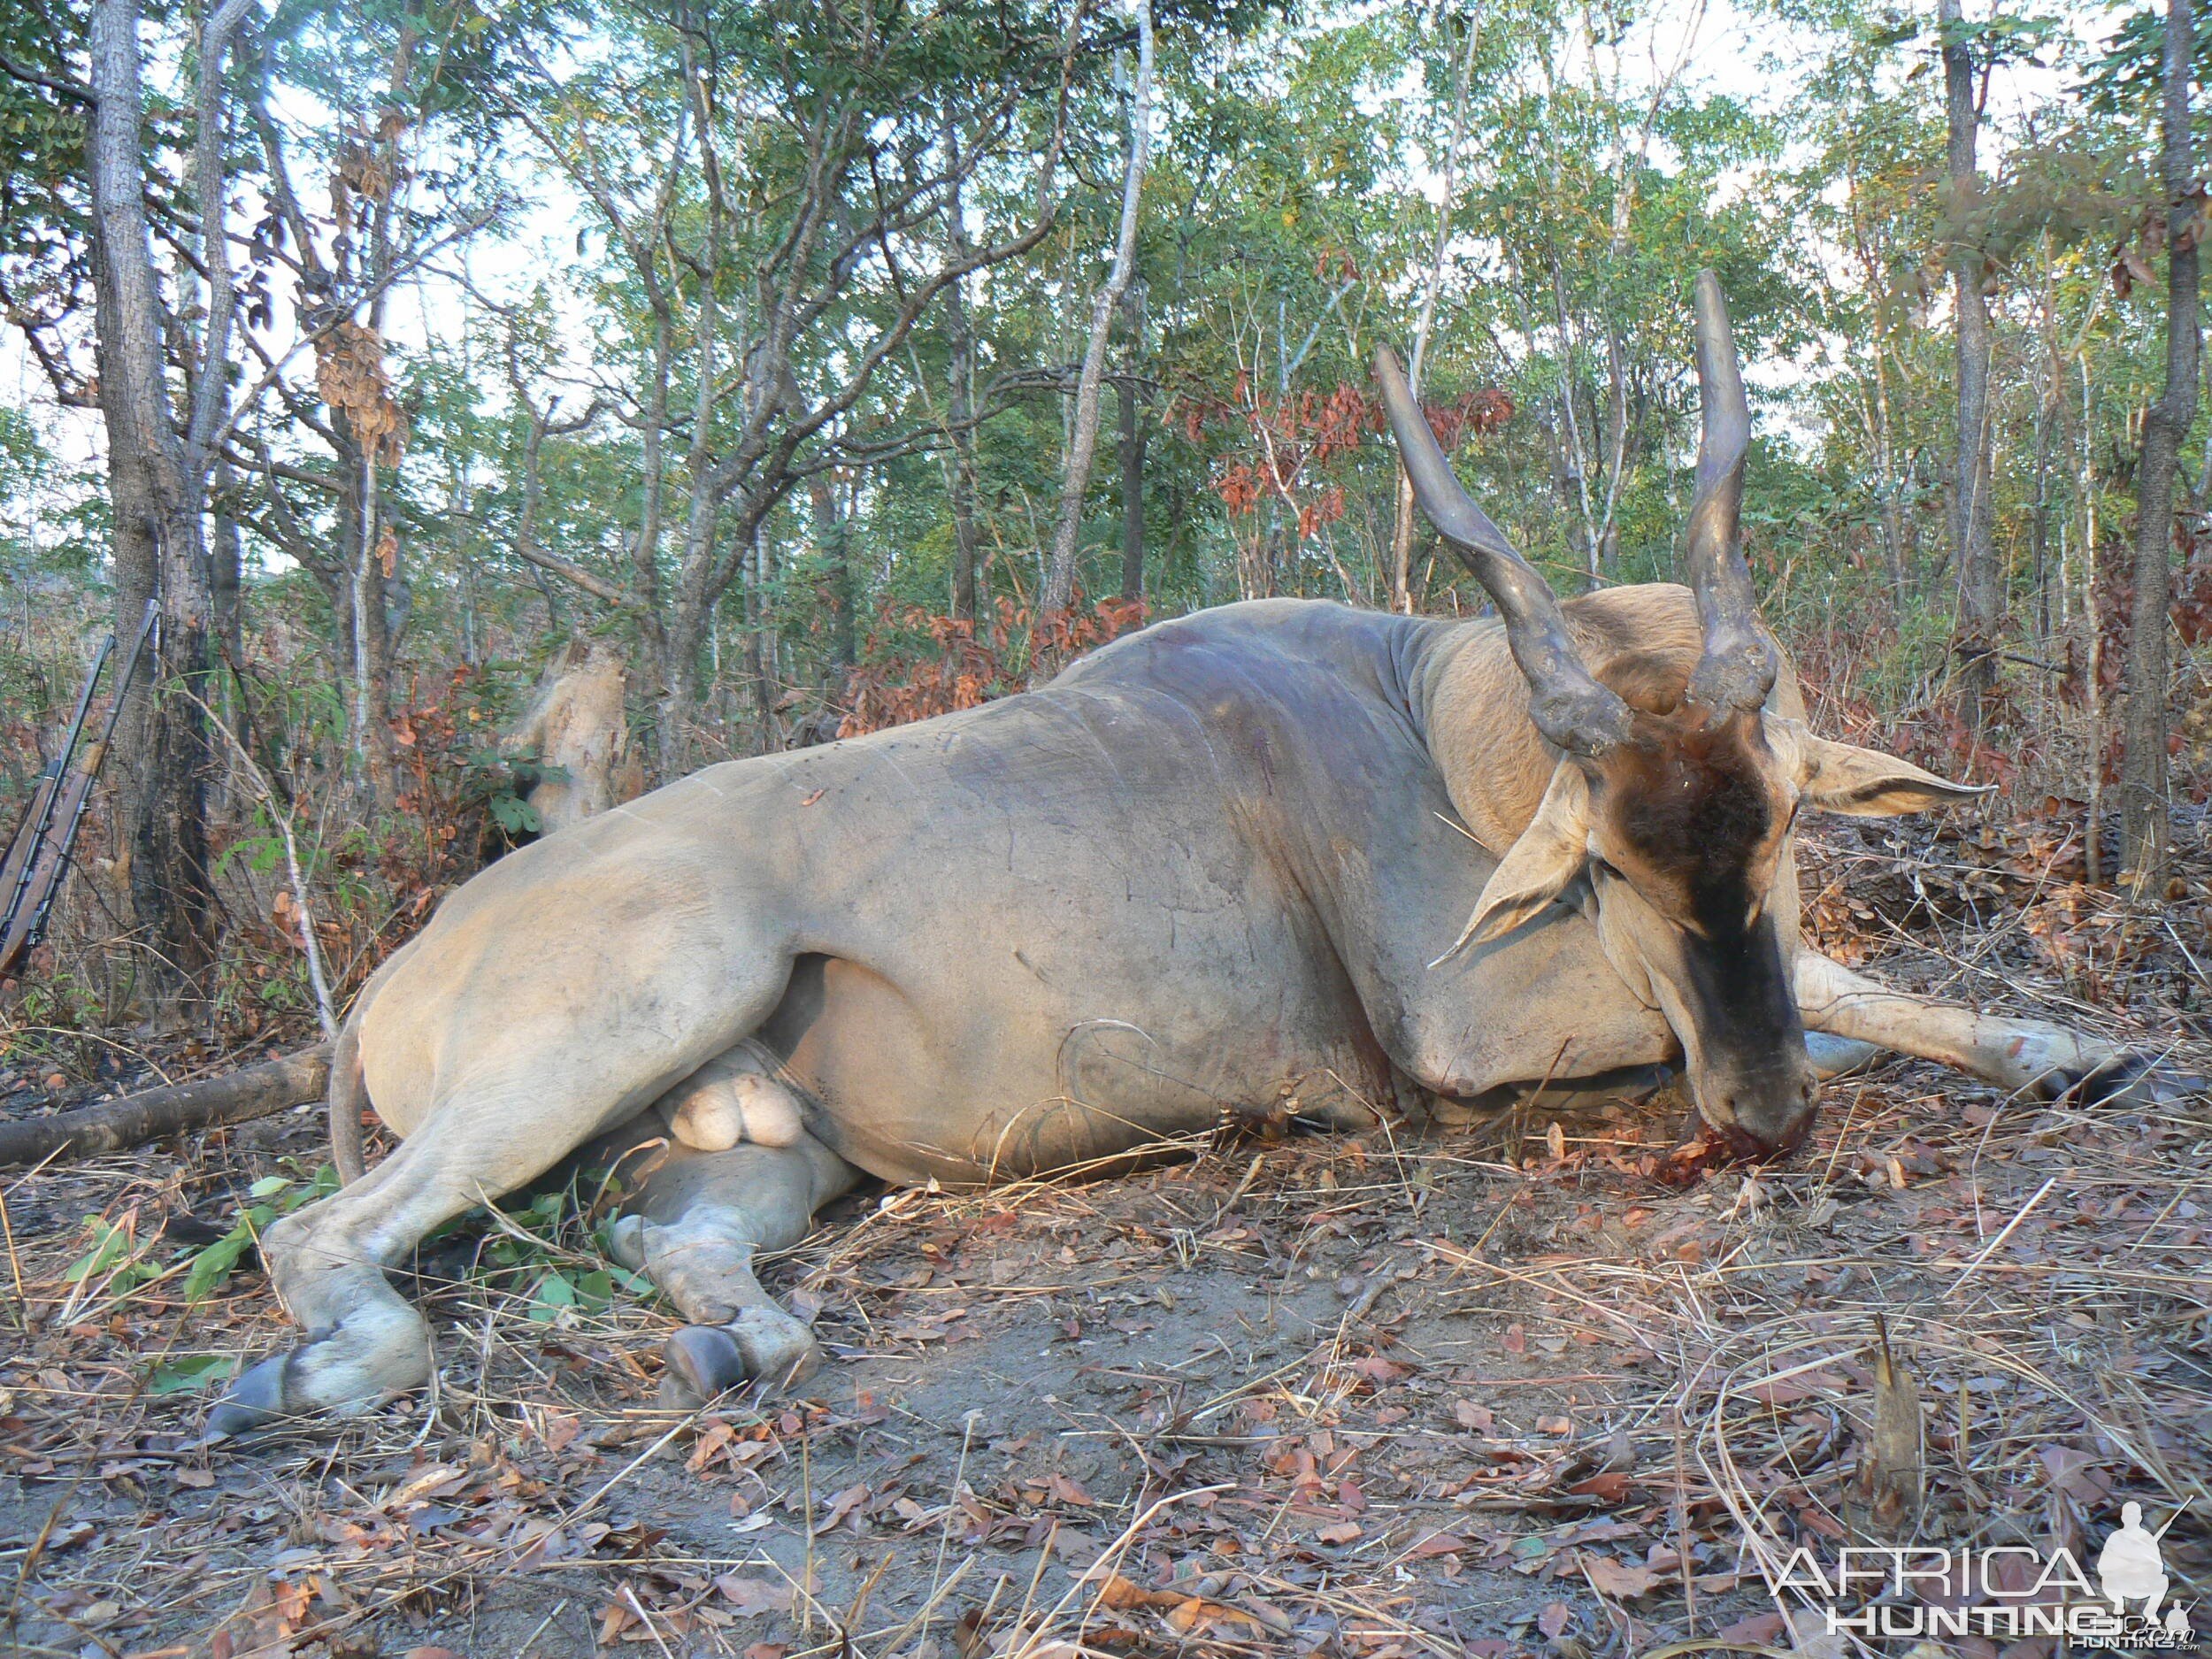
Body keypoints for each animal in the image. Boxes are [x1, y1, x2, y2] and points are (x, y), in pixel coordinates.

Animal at [208, 276, 2177, 1442]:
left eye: (1772, 838)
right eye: (1609, 868)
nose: (1762, 1119)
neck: (1428, 717)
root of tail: (402, 967)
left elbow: (1841, 986)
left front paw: (2070, 1049)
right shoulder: (1462, 1032)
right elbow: (1809, 999)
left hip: (778, 1152)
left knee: (669, 1240)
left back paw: (731, 1344)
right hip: (635, 1004)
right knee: (317, 1234)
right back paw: (314, 1370)